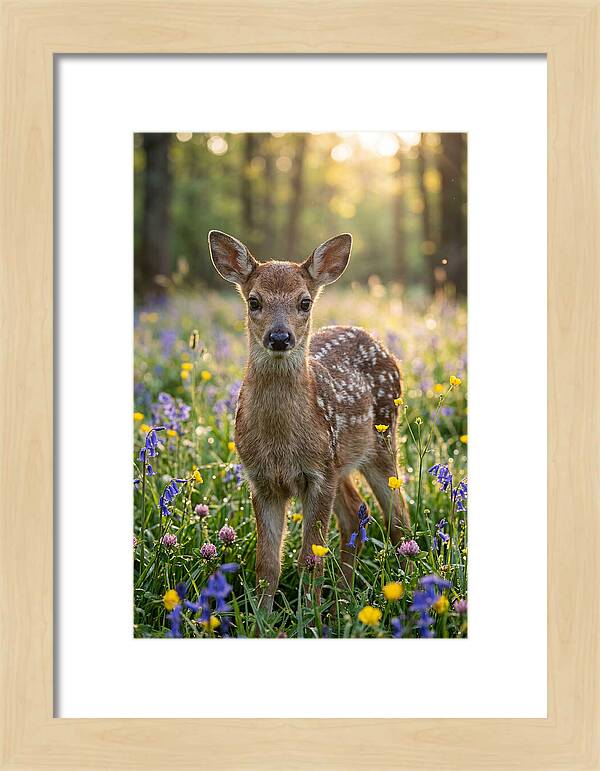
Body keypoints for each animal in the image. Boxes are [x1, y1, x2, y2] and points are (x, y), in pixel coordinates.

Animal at [208, 230, 409, 613]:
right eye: (254, 301)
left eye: (304, 302)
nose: (279, 337)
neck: (280, 442)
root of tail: (377, 342)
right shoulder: (262, 479)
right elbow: (267, 562)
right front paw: (262, 617)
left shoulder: (317, 475)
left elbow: (310, 558)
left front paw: (309, 614)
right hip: (340, 461)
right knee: (355, 514)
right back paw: (343, 598)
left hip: (381, 441)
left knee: (399, 518)